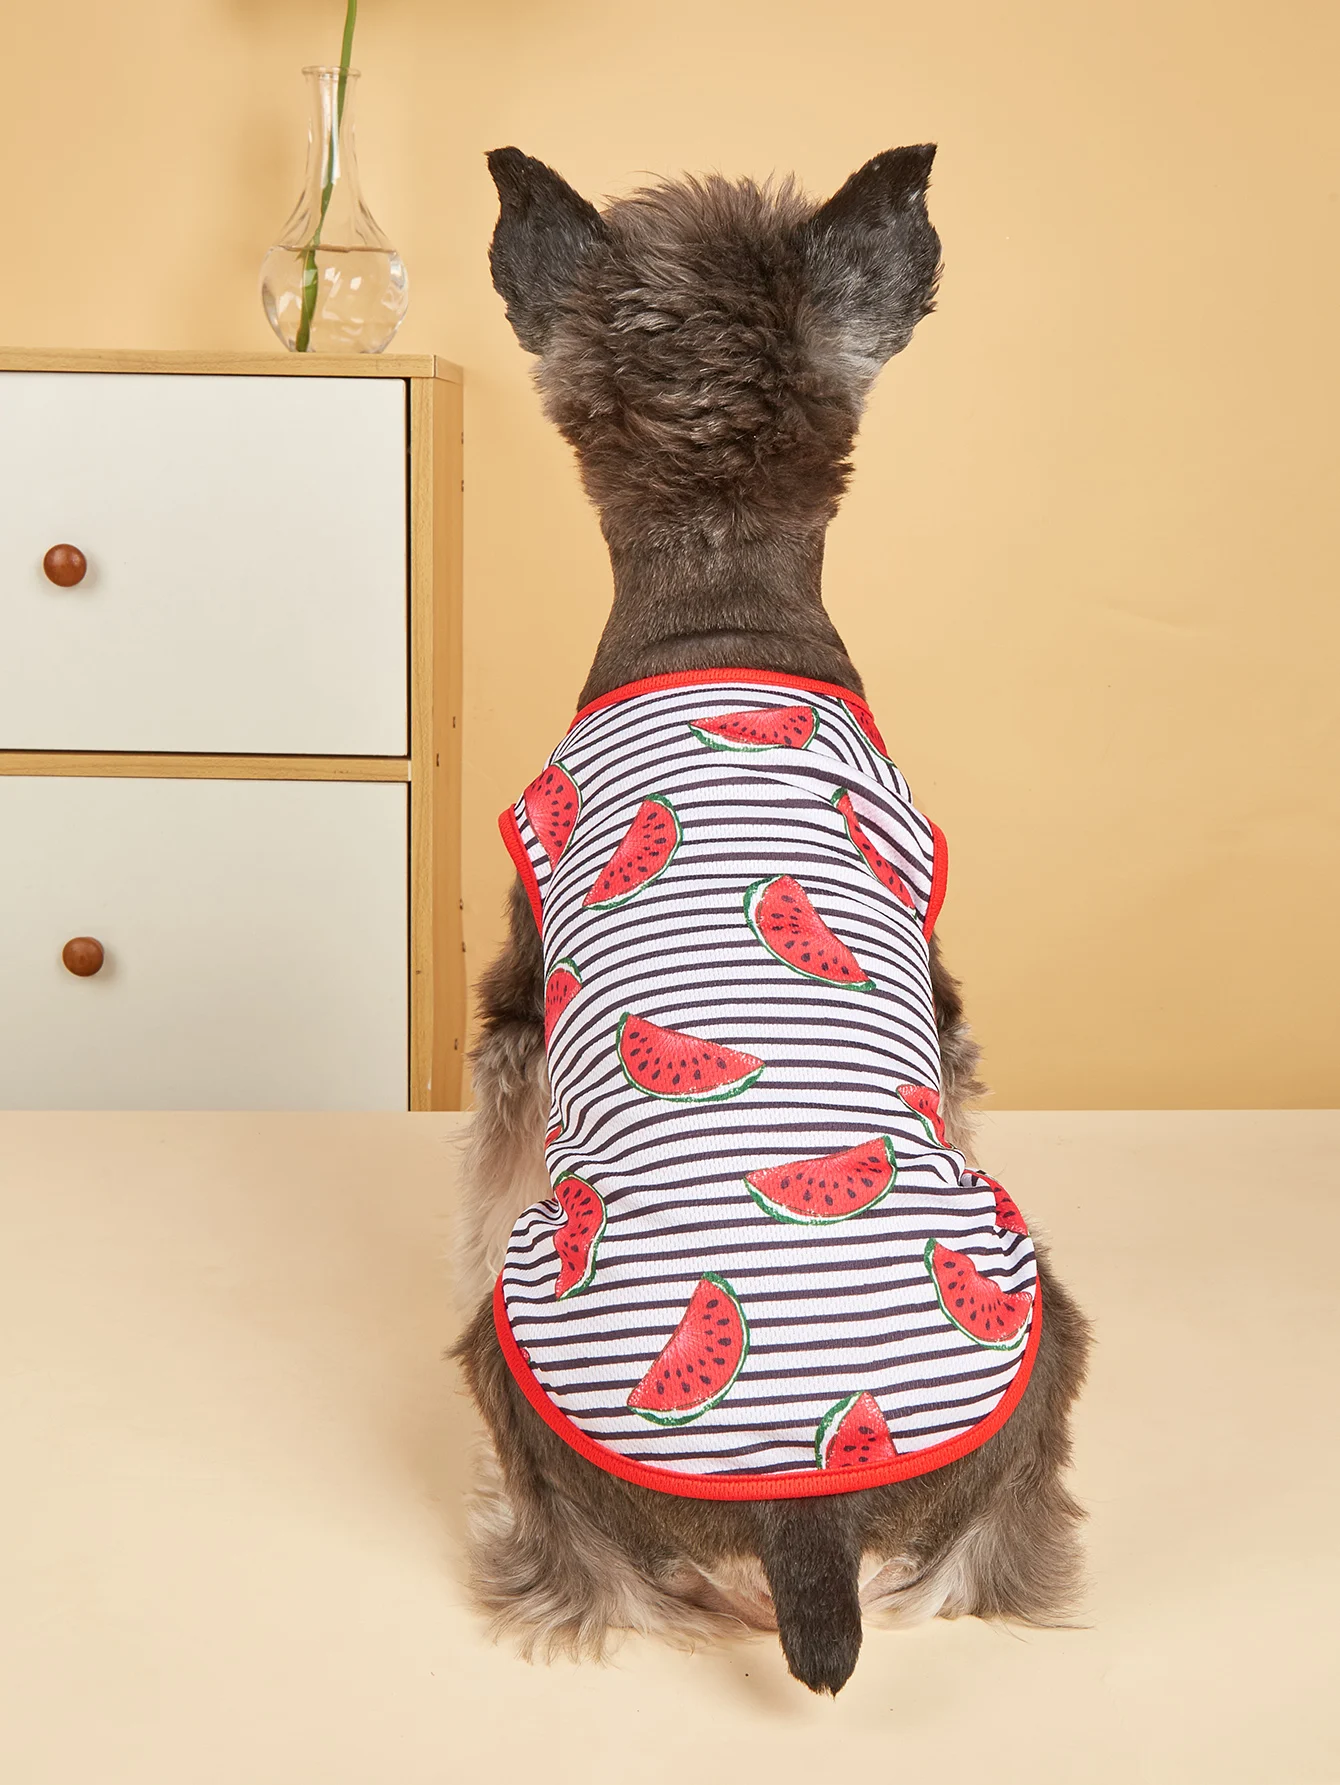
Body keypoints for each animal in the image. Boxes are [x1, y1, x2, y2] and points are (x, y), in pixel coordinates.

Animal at [455, 144, 1090, 1696]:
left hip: (508, 1350)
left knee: (579, 1575)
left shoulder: (511, 1005)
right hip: (1050, 1331)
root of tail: (809, 1505)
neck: (722, 607)